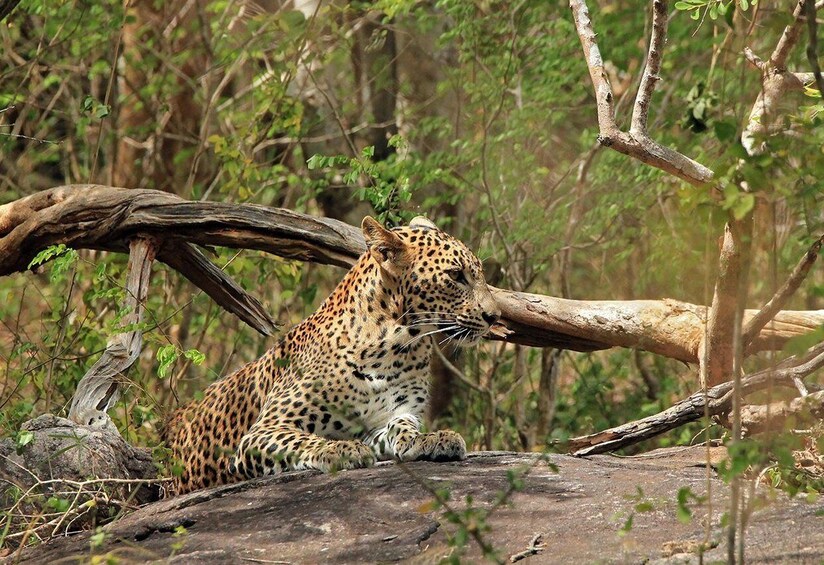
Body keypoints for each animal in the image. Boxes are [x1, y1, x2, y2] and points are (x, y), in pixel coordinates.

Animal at [164, 215, 501, 494]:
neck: (396, 345)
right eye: (456, 275)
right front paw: (340, 450)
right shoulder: (263, 431)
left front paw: (427, 439)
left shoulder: (386, 418)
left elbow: (400, 427)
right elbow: (300, 440)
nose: (494, 316)